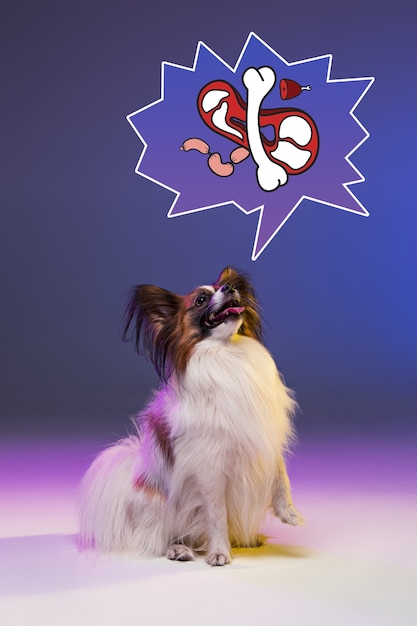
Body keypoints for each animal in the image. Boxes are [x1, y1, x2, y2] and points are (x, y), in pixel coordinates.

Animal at [79, 266, 302, 564]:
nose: (230, 288)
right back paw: (179, 549)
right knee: (156, 539)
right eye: (200, 300)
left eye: (226, 287)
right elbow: (216, 515)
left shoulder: (265, 435)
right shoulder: (210, 469)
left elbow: (281, 476)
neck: (227, 353)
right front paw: (219, 552)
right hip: (157, 506)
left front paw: (288, 512)